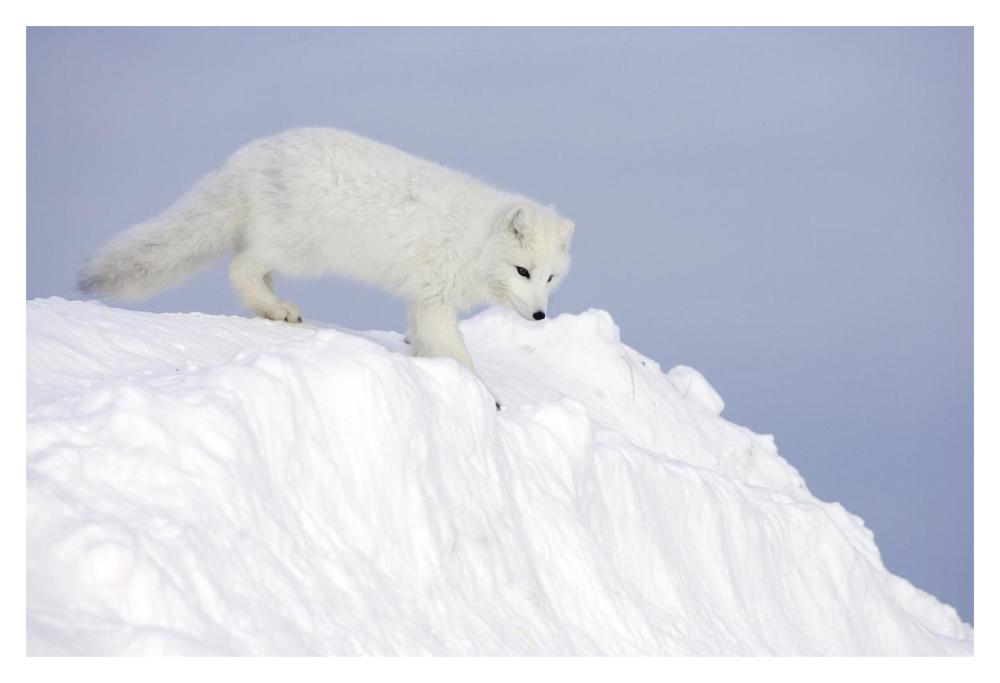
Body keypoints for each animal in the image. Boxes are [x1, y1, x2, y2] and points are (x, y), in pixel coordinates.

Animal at [78, 127, 574, 407]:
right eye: (522, 271)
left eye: (550, 277)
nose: (539, 315)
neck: (474, 241)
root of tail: (252, 154)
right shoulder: (435, 298)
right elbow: (457, 355)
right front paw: (486, 398)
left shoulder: (421, 297)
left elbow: (423, 341)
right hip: (300, 250)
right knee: (240, 266)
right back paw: (279, 309)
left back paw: (272, 310)